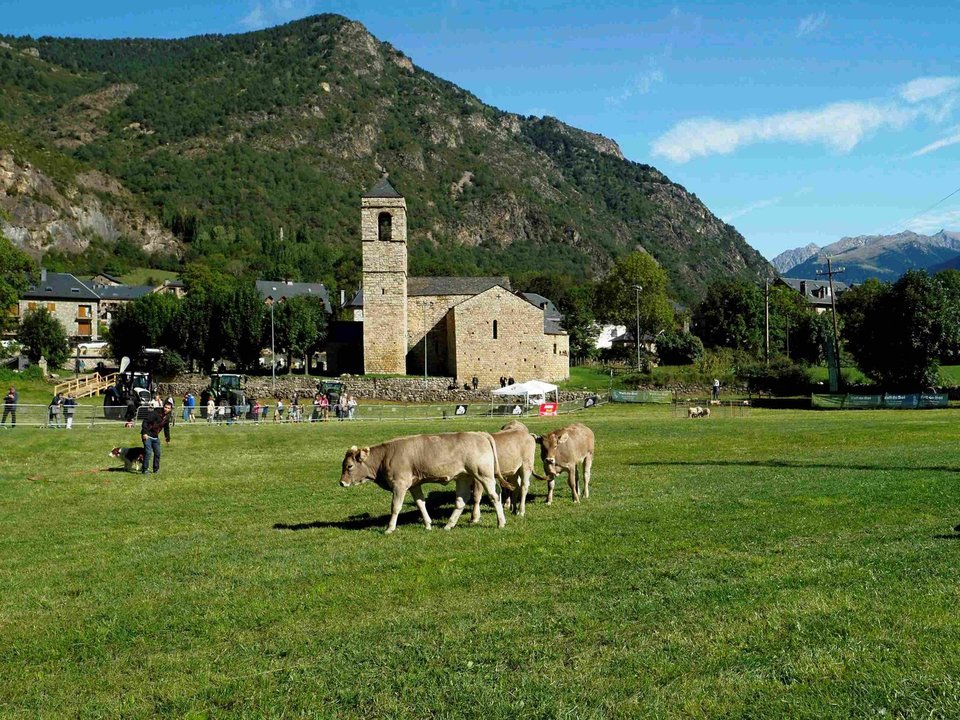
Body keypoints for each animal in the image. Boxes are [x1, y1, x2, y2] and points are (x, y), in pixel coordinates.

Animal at [344, 430, 510, 532]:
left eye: (349, 466)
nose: (342, 482)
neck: (386, 455)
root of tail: (480, 434)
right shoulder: (414, 485)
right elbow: (420, 504)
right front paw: (428, 524)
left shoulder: (400, 485)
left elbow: (395, 507)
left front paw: (390, 528)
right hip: (463, 476)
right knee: (462, 500)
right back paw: (449, 525)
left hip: (484, 474)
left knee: (495, 497)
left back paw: (501, 522)